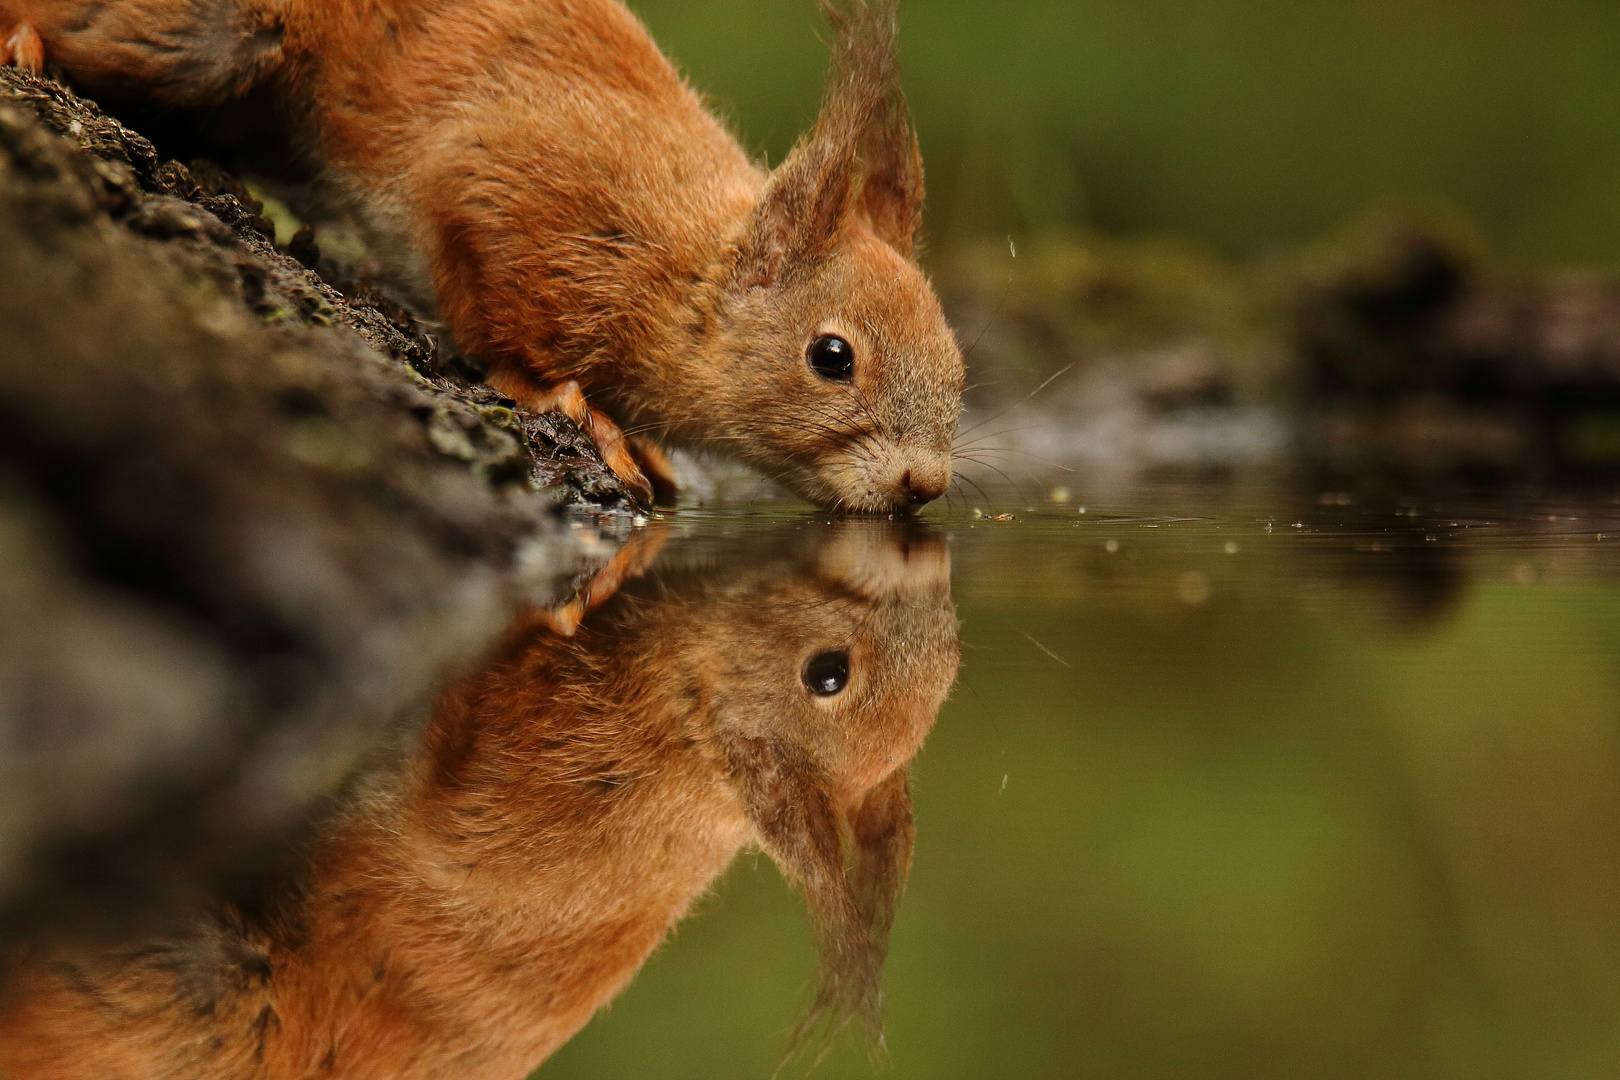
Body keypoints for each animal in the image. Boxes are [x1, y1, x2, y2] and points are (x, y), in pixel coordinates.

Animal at [3, 0, 959, 511]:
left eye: (957, 364)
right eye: (831, 357)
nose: (924, 484)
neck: (682, 275)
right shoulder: (506, 192)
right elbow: (495, 318)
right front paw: (577, 409)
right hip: (201, 36)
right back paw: (26, 41)